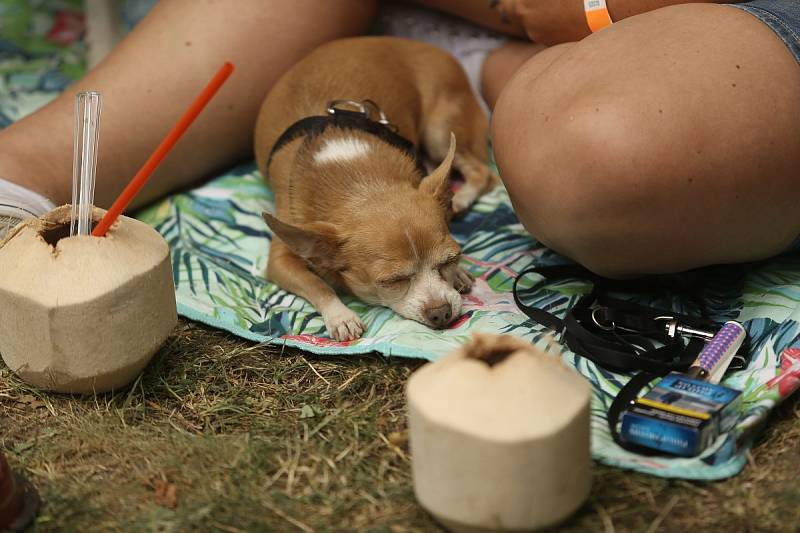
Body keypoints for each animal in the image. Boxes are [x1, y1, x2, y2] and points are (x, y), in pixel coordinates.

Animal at [255, 36, 494, 340]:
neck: (358, 177)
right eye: (392, 281)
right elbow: (317, 284)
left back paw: (459, 198)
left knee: (482, 171)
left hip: (440, 131)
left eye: (449, 259)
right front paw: (341, 316)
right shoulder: (280, 259)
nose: (441, 312)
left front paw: (459, 274)